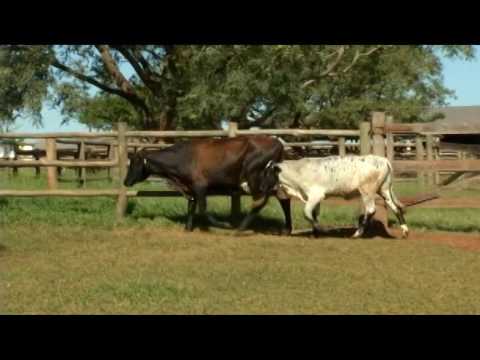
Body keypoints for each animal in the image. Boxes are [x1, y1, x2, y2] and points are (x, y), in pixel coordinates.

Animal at [123, 135, 292, 233]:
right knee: (283, 198)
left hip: (255, 177)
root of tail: (277, 142)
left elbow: (202, 209)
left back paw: (240, 228)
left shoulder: (200, 186)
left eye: (134, 163)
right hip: (271, 179)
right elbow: (191, 206)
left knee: (259, 201)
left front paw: (222, 225)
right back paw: (287, 229)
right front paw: (188, 228)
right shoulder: (190, 188)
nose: (125, 181)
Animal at [258, 153, 408, 238]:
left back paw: (357, 233)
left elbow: (307, 213)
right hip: (384, 190)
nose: (261, 188)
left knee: (371, 210)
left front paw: (321, 230)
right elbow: (314, 214)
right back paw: (405, 231)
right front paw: (315, 233)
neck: (299, 171)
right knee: (396, 208)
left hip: (367, 191)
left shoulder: (316, 195)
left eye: (268, 173)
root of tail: (383, 160)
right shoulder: (315, 199)